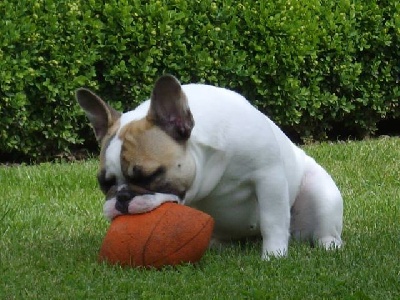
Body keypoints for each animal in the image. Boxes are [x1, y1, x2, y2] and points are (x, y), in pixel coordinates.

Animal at [76, 74, 344, 258]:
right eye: (104, 183)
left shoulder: (268, 176)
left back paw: (329, 244)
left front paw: (273, 255)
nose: (122, 198)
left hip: (321, 194)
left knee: (324, 228)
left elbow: (273, 220)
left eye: (149, 176)